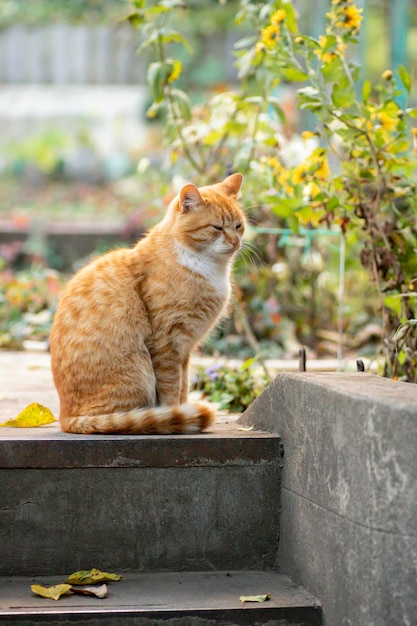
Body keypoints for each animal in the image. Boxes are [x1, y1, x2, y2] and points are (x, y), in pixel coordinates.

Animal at [48, 173, 244, 432]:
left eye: (239, 226)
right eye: (217, 227)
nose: (235, 242)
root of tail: (66, 418)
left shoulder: (185, 350)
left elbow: (183, 387)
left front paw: (181, 411)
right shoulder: (168, 343)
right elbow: (171, 387)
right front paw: (174, 414)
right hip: (139, 372)